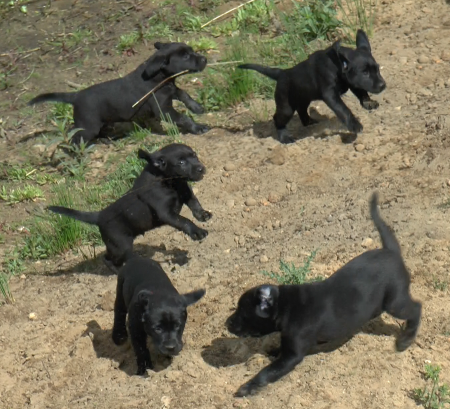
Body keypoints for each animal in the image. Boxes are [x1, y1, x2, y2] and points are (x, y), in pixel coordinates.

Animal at [29, 42, 208, 144]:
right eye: (185, 56)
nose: (205, 59)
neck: (159, 77)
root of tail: (76, 95)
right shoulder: (163, 109)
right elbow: (183, 118)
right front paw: (198, 127)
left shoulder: (170, 91)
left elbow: (184, 94)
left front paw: (197, 107)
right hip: (88, 126)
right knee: (75, 140)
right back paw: (77, 156)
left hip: (101, 122)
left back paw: (107, 140)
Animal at [229, 193, 422, 396]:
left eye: (242, 312)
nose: (227, 323)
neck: (286, 305)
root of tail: (391, 252)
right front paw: (272, 351)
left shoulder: (293, 355)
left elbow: (267, 372)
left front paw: (247, 387)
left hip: (395, 302)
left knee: (416, 308)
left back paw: (405, 340)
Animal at [239, 29, 386, 143]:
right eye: (365, 72)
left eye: (377, 69)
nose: (383, 85)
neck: (337, 65)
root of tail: (282, 73)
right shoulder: (330, 94)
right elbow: (343, 109)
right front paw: (354, 125)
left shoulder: (351, 82)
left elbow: (362, 92)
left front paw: (369, 102)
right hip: (286, 107)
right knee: (278, 118)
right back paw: (285, 137)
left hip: (303, 97)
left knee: (301, 109)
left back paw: (309, 122)